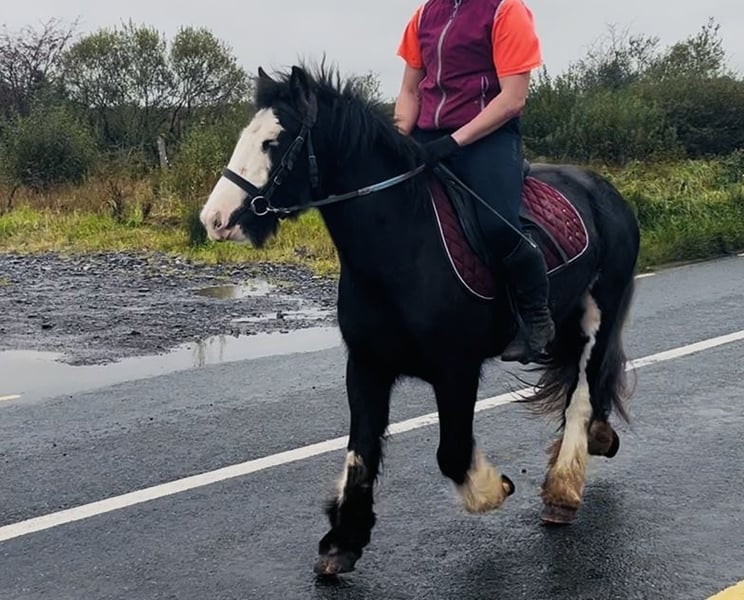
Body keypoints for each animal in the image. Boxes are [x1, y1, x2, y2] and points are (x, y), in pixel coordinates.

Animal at [199, 64, 640, 576]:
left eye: (273, 141)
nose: (214, 219)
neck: (402, 244)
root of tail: (603, 188)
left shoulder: (456, 370)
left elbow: (451, 454)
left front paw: (493, 489)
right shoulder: (366, 366)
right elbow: (361, 450)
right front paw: (343, 540)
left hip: (599, 313)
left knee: (582, 395)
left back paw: (563, 490)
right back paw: (598, 440)